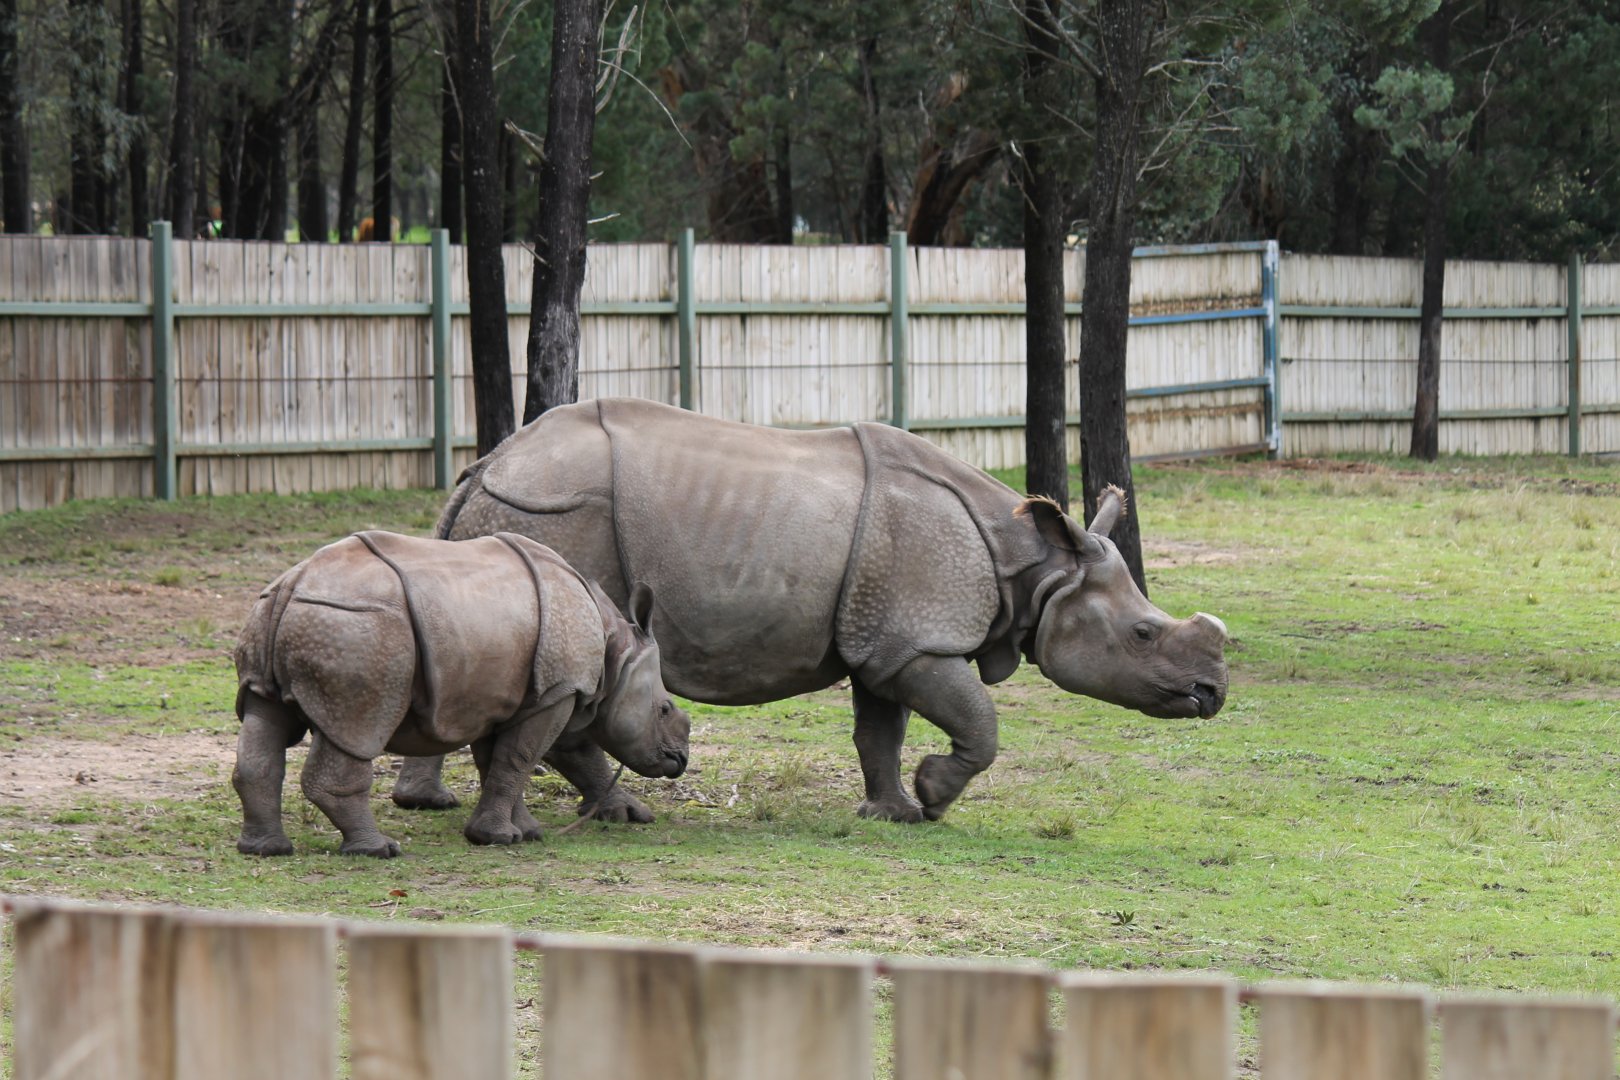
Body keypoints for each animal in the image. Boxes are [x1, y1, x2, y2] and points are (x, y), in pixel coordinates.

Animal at [231, 529, 691, 857]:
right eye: (665, 709)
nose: (680, 760)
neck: (616, 652)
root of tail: (291, 585)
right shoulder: (558, 691)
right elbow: (521, 758)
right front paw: (498, 838)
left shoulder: (510, 695)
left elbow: (502, 763)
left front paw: (521, 832)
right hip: (359, 629)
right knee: (359, 728)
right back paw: (378, 850)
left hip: (282, 617)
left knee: (264, 716)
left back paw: (266, 850)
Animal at [394, 398, 1227, 824]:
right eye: (1143, 634)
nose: (1213, 693)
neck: (1041, 568)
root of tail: (485, 467)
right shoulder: (918, 642)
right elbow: (979, 723)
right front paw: (934, 795)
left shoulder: (885, 638)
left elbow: (878, 732)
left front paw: (892, 811)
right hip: (559, 514)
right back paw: (621, 811)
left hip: (516, 512)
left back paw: (427, 803)